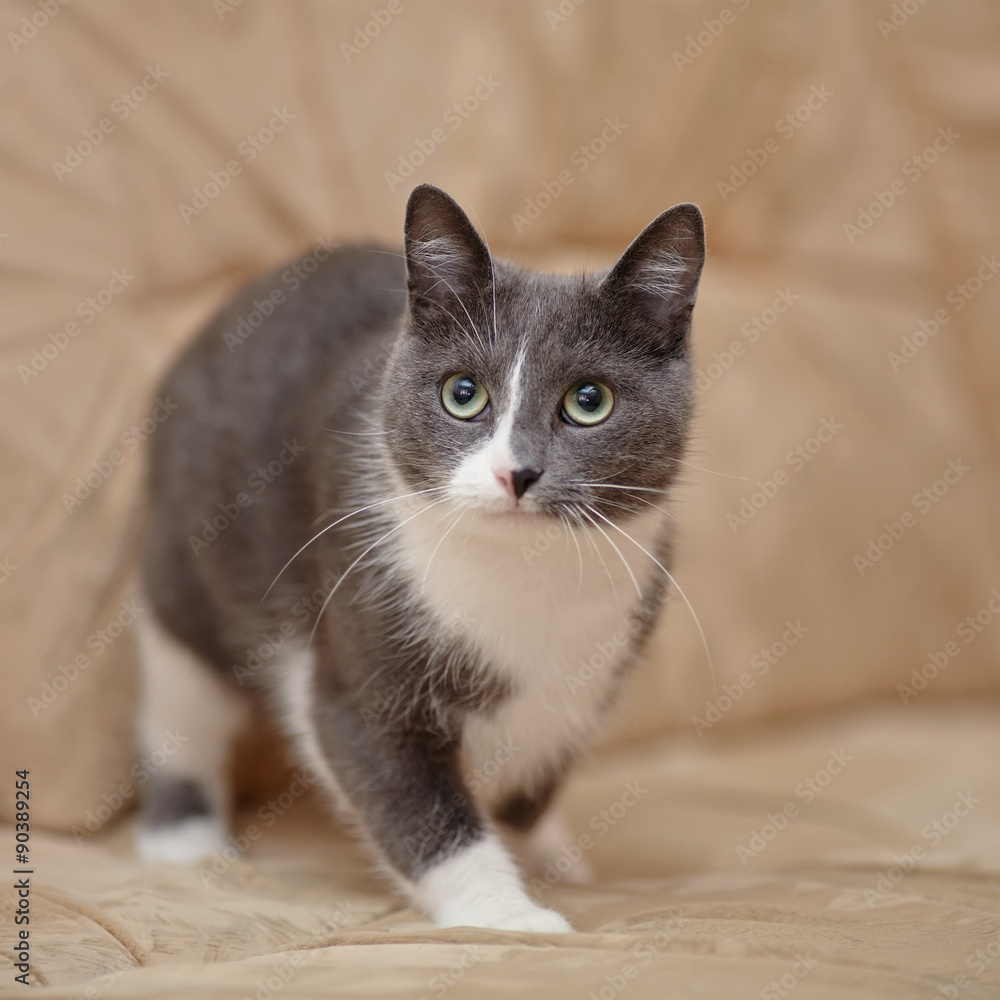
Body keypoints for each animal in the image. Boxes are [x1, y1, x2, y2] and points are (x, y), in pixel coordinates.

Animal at [137, 182, 708, 928]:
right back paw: (183, 838)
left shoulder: (593, 671)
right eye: (463, 394)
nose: (515, 472)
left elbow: (533, 778)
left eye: (590, 401)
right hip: (183, 561)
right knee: (181, 694)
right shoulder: (358, 648)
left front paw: (541, 856)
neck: (524, 576)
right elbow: (411, 795)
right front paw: (507, 913)